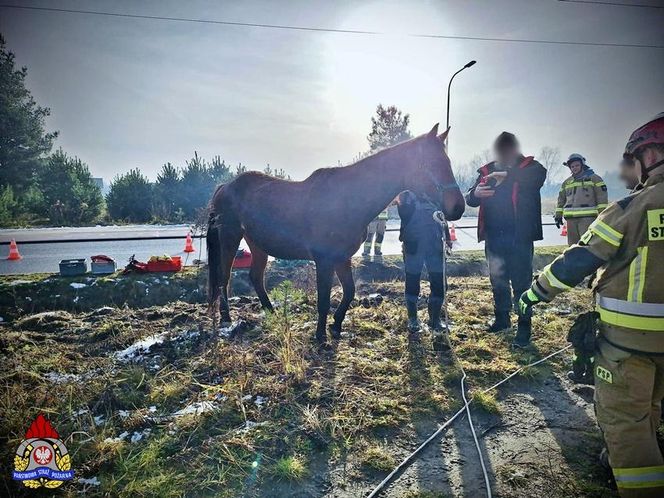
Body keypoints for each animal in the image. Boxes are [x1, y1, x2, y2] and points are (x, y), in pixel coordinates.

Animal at [210, 124, 464, 342]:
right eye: (431, 162)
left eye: (448, 161)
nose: (458, 207)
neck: (345, 200)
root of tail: (225, 186)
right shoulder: (324, 260)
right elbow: (323, 299)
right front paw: (320, 334)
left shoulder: (342, 257)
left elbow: (349, 292)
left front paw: (336, 325)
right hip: (230, 237)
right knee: (225, 276)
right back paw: (226, 319)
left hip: (257, 243)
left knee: (255, 276)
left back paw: (271, 311)